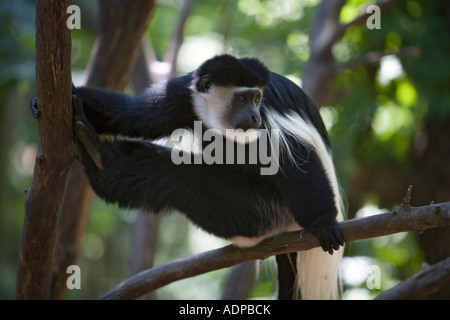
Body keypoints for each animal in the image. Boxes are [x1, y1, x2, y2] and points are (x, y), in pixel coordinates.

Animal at [67, 55, 344, 300]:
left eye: (256, 98)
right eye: (242, 98)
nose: (254, 116)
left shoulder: (268, 124)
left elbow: (297, 162)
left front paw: (323, 222)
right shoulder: (180, 96)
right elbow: (132, 116)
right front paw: (72, 95)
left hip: (268, 209)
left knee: (183, 176)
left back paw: (100, 157)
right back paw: (100, 158)